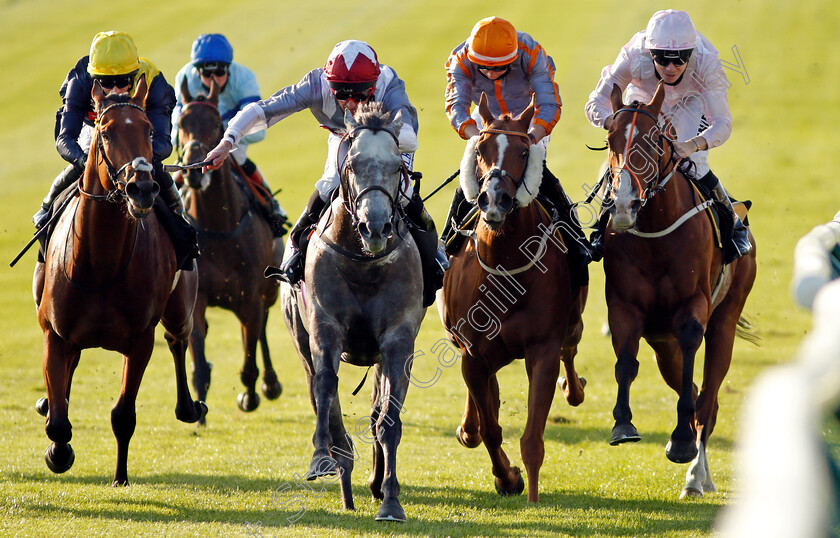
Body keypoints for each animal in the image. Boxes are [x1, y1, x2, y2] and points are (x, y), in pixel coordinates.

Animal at [32, 79, 207, 486]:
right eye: (107, 132)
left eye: (148, 130)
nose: (142, 189)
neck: (99, 264)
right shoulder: (54, 334)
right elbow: (59, 421)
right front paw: (58, 452)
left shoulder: (139, 341)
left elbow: (123, 415)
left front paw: (120, 475)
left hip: (180, 306)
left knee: (178, 339)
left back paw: (189, 407)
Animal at [176, 79, 284, 416]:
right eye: (181, 123)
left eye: (215, 124)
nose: (193, 170)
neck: (220, 228)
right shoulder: (197, 301)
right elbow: (198, 364)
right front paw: (198, 411)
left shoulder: (250, 298)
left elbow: (249, 361)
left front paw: (249, 396)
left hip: (267, 292)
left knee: (261, 330)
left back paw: (270, 384)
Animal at [280, 101, 426, 520]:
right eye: (353, 164)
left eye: (397, 166)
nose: (374, 226)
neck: (364, 263)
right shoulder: (324, 328)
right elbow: (325, 389)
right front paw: (321, 457)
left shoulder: (398, 339)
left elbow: (388, 418)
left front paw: (391, 501)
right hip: (299, 336)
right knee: (319, 390)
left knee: (377, 411)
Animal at [436, 94, 588, 500]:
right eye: (481, 149)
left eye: (523, 151)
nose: (495, 199)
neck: (505, 263)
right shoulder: (472, 354)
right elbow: (490, 429)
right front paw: (508, 478)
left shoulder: (542, 349)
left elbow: (532, 438)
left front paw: (532, 496)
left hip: (572, 324)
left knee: (571, 348)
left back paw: (574, 388)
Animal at [600, 81, 756, 496]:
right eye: (609, 137)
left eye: (654, 139)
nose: (624, 204)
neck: (656, 233)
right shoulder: (624, 304)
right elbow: (625, 361)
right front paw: (623, 423)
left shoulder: (692, 305)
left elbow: (691, 355)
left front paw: (682, 443)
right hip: (661, 342)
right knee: (697, 390)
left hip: (724, 321)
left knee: (709, 398)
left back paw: (696, 476)